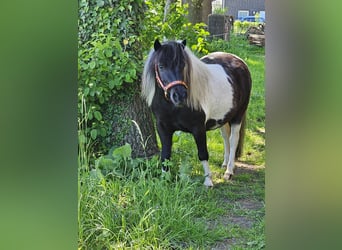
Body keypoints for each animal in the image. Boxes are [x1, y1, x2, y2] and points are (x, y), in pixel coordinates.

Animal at [141, 39, 251, 187]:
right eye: (161, 66)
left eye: (183, 65)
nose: (180, 96)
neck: (173, 107)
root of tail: (239, 61)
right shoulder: (163, 128)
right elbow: (165, 154)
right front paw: (164, 180)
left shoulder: (198, 128)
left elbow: (203, 153)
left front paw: (208, 181)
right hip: (223, 118)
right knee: (225, 137)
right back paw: (224, 163)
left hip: (238, 116)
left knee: (233, 140)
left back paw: (229, 171)